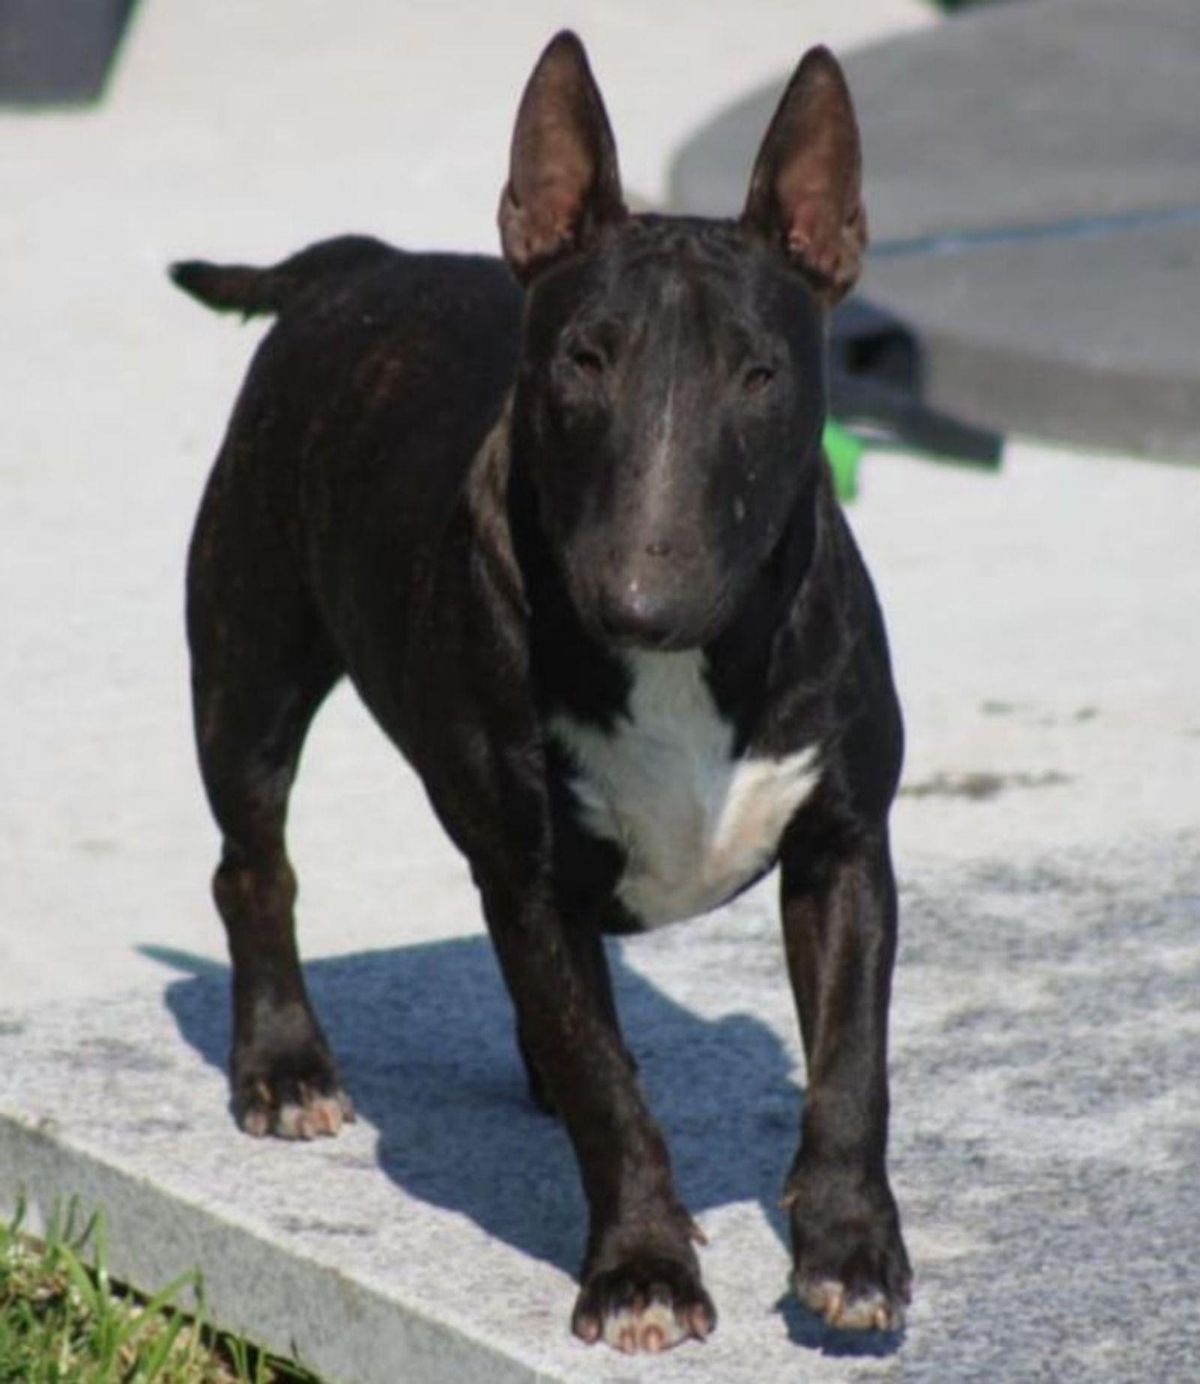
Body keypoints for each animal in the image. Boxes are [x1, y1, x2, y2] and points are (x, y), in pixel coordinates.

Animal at [173, 29, 913, 1350]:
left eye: (761, 372)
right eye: (582, 359)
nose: (638, 598)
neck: (682, 667)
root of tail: (364, 265)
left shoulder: (843, 841)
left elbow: (849, 1060)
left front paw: (850, 1250)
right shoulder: (530, 873)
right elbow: (608, 1088)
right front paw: (643, 1272)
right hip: (248, 663)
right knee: (253, 861)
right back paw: (285, 1066)